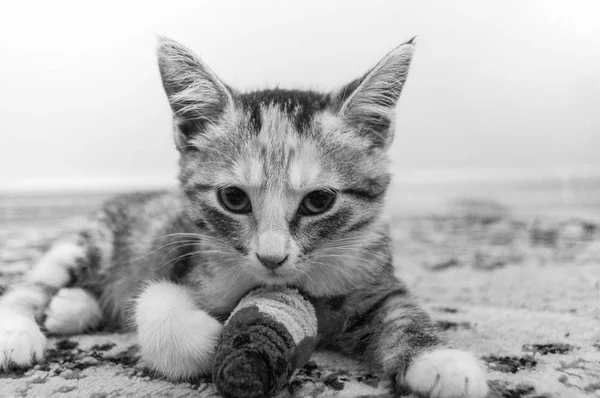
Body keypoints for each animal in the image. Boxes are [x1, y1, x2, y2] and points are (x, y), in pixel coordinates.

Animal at [0, 37, 488, 398]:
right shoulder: (179, 251)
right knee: (35, 282)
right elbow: (153, 299)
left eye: (319, 201)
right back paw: (21, 331)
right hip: (93, 241)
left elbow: (403, 312)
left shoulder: (372, 277)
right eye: (233, 198)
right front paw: (206, 339)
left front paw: (442, 362)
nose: (272, 258)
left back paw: (69, 309)